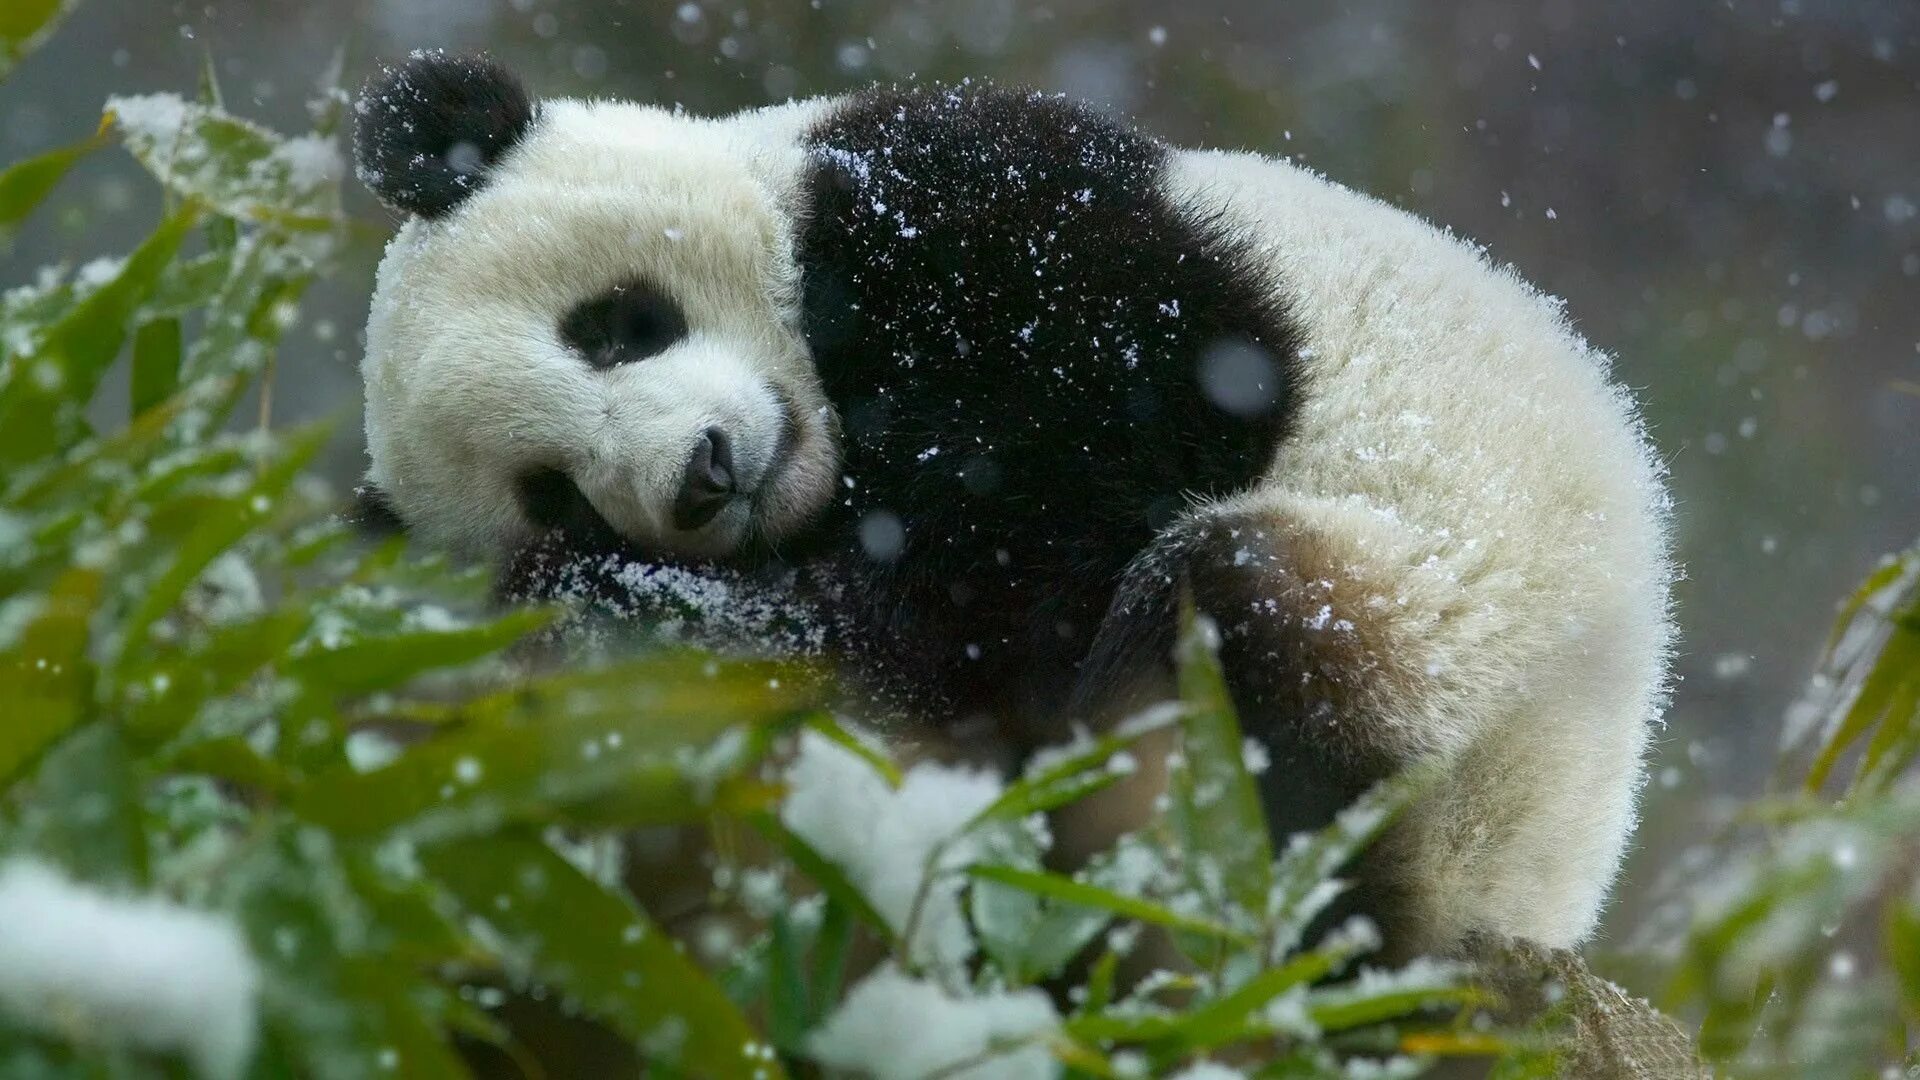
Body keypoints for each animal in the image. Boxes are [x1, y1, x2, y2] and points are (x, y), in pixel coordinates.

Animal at [353, 54, 1674, 953]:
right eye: (555, 491)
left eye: (618, 326)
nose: (704, 475)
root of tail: (1526, 883)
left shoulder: (972, 206)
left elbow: (1105, 435)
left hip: (1449, 629)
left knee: (1236, 631)